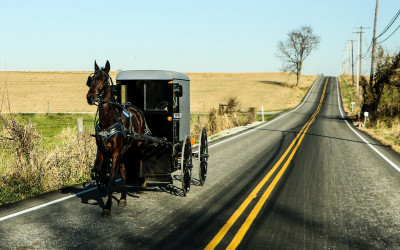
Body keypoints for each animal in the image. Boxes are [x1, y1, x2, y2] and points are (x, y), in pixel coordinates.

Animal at [86, 60, 146, 215]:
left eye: (104, 79)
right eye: (91, 79)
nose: (90, 97)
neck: (108, 122)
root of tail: (135, 108)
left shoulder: (116, 152)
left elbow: (113, 178)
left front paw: (107, 206)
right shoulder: (102, 149)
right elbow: (98, 168)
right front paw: (103, 178)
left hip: (139, 142)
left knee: (141, 157)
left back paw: (142, 180)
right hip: (123, 152)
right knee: (124, 173)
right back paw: (123, 198)